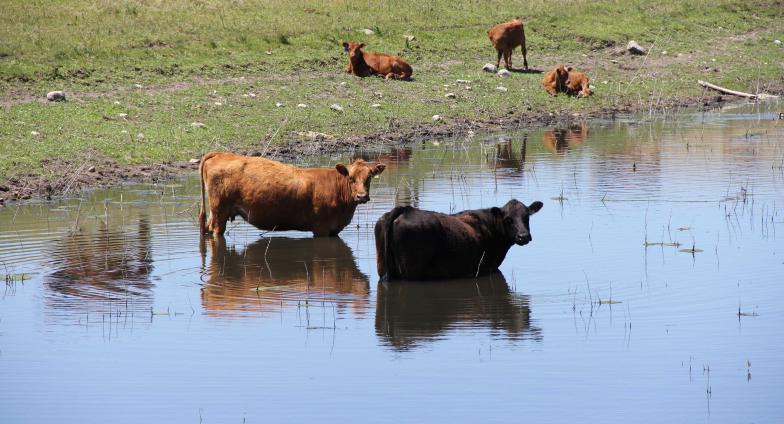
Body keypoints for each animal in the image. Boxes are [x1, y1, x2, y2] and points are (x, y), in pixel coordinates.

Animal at [199, 152, 386, 238]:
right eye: (351, 178)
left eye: (369, 177)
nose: (362, 196)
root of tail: (220, 154)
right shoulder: (321, 229)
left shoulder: (334, 230)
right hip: (220, 212)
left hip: (217, 212)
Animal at [372, 200, 544, 282]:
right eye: (508, 220)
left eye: (527, 217)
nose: (524, 236)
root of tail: (406, 209)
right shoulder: (486, 268)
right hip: (411, 272)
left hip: (383, 269)